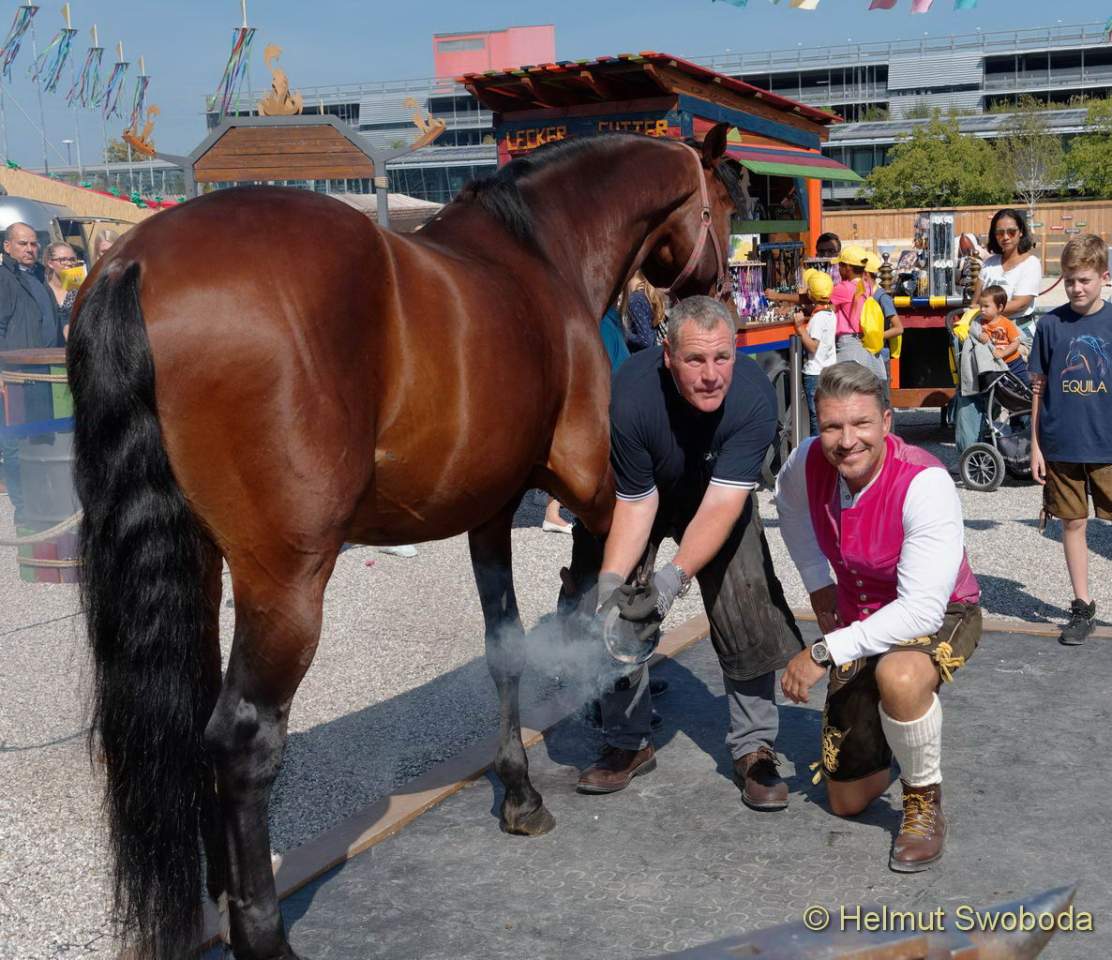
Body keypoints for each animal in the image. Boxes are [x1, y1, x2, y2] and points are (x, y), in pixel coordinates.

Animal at [67, 122, 744, 960]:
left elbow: (506, 646)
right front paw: (621, 711)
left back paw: (216, 890)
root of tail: (134, 260)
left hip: (196, 565)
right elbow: (620, 590)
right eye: (724, 203)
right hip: (286, 583)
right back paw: (262, 932)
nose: (723, 293)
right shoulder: (597, 487)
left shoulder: (489, 510)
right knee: (242, 739)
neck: (539, 251)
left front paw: (520, 788)